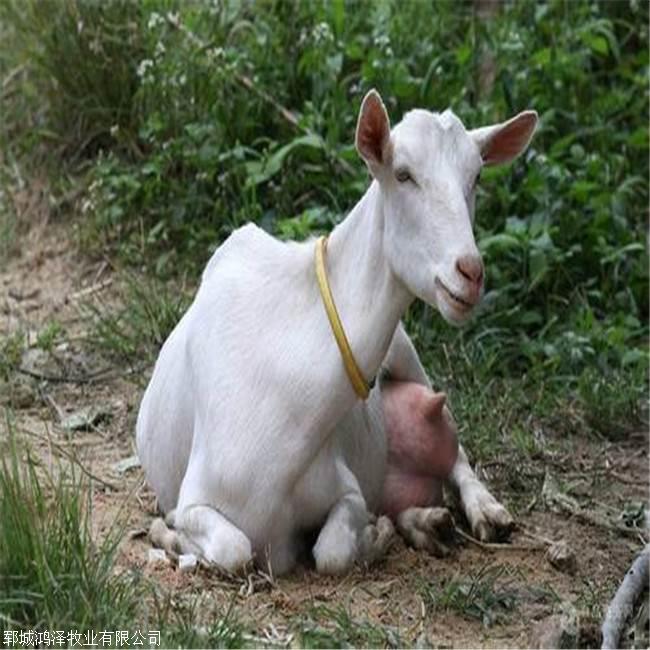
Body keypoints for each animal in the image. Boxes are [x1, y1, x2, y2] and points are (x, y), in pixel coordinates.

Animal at [137, 87, 536, 572]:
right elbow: (234, 549)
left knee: (454, 448)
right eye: (403, 174)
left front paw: (376, 533)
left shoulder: (345, 489)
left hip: (407, 352)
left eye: (476, 176)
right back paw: (424, 522)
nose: (470, 273)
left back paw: (482, 512)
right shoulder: (195, 497)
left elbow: (332, 550)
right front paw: (167, 535)